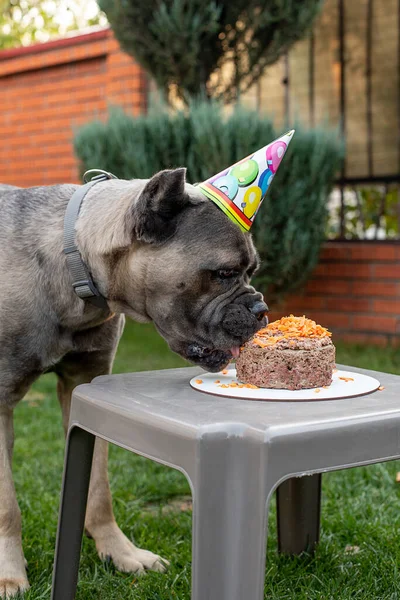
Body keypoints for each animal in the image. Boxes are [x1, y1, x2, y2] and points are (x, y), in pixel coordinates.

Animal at [0, 168, 268, 596]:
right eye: (224, 273)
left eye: (251, 272)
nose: (261, 308)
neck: (73, 269)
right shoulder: (1, 404)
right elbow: (7, 504)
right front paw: (9, 572)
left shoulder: (84, 385)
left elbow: (99, 489)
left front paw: (118, 551)